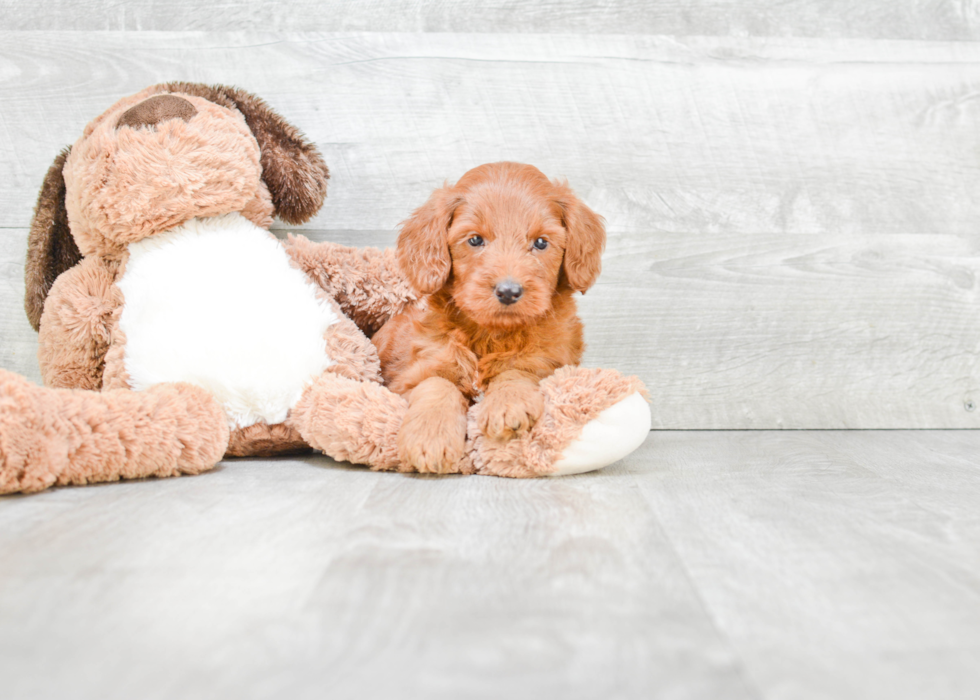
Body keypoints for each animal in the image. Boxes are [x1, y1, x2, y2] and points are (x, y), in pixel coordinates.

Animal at [374, 161, 604, 474]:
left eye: (541, 243)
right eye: (474, 240)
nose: (508, 291)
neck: (490, 334)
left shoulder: (552, 361)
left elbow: (517, 369)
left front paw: (508, 404)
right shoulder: (410, 377)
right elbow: (437, 384)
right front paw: (429, 437)